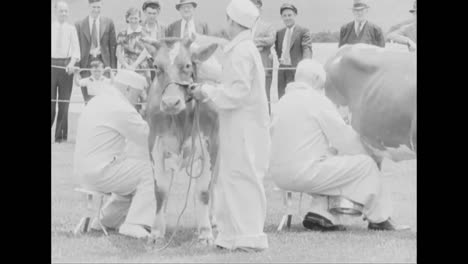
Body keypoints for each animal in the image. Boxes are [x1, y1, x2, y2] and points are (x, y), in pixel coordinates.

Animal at [142, 34, 228, 245]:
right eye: (156, 66)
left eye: (188, 65)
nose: (170, 103)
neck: (181, 120)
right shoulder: (154, 144)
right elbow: (161, 190)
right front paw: (156, 231)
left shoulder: (211, 145)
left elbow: (203, 191)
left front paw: (205, 233)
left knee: (212, 184)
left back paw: (211, 220)